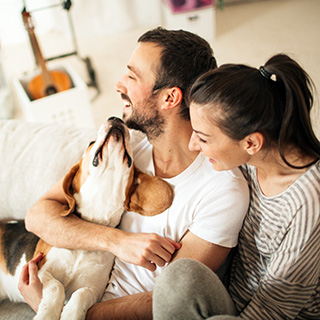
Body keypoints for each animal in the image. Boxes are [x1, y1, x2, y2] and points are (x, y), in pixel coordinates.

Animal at [0, 117, 172, 320]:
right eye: (91, 143)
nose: (115, 118)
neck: (92, 226)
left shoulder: (93, 288)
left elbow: (81, 294)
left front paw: (70, 314)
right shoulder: (40, 269)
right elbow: (56, 287)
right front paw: (47, 314)